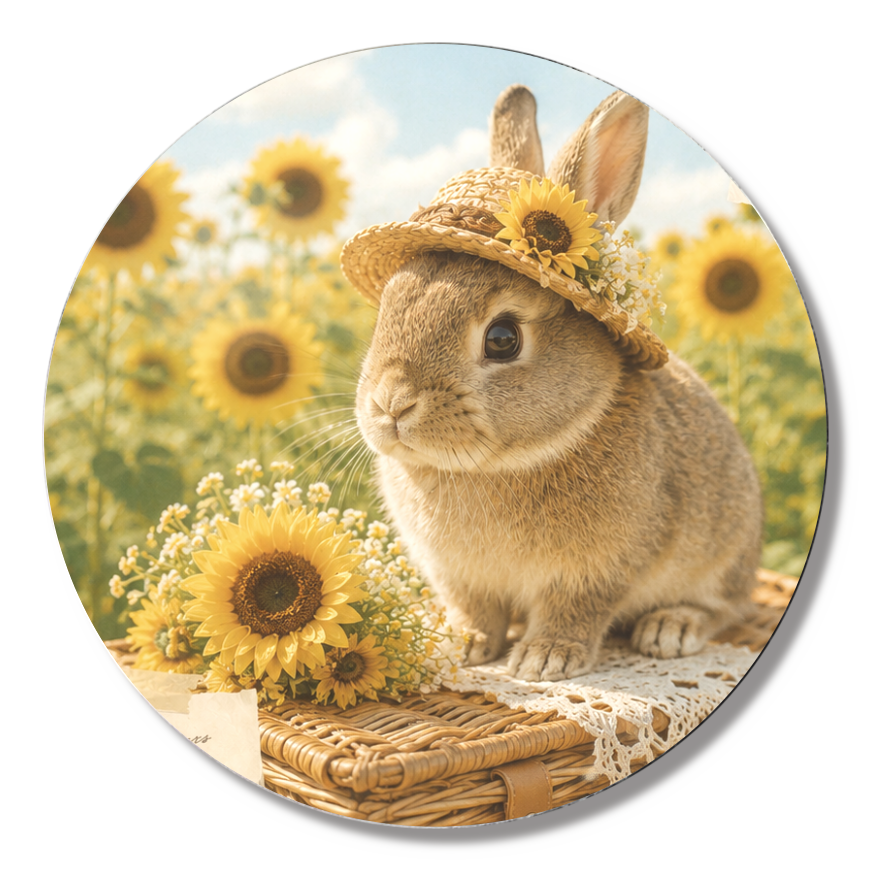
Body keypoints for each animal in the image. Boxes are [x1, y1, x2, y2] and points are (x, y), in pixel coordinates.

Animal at [347, 85, 763, 682]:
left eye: (503, 339)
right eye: (388, 304)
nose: (391, 405)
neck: (497, 466)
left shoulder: (598, 569)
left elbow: (575, 610)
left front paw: (544, 660)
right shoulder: (457, 575)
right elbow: (475, 609)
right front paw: (461, 646)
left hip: (724, 550)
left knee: (725, 607)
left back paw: (670, 629)